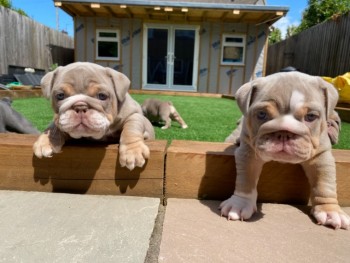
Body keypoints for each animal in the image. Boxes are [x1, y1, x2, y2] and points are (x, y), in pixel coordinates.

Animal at [220, 71, 348, 230]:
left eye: (311, 116)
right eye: (261, 114)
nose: (284, 132)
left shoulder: (321, 156)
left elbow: (324, 183)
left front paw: (330, 210)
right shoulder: (248, 153)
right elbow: (246, 180)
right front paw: (239, 204)